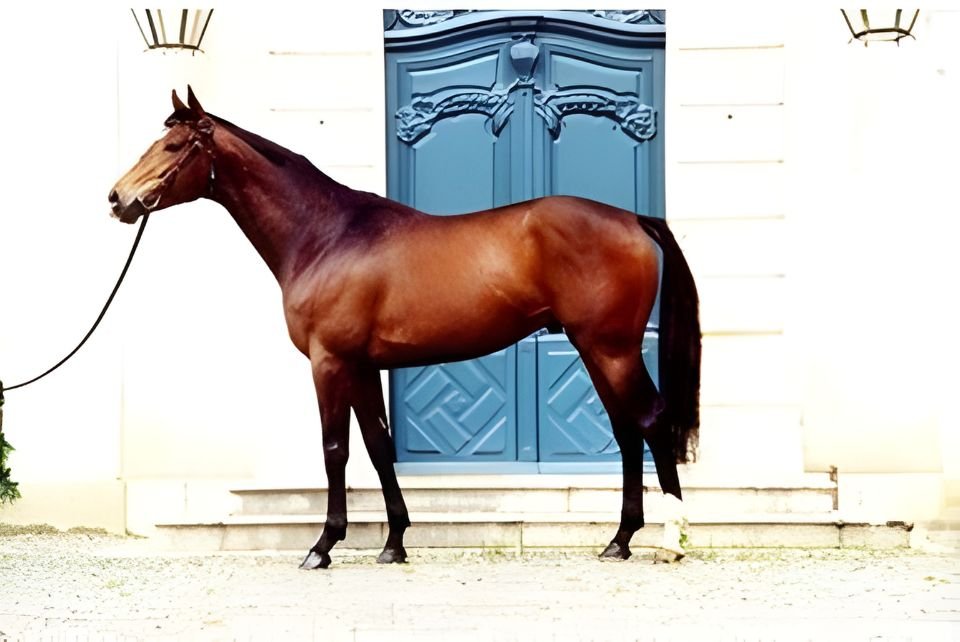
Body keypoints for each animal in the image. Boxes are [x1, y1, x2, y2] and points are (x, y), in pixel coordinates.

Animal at [109, 87, 701, 569]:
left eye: (171, 147)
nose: (118, 198)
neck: (327, 235)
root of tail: (631, 218)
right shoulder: (364, 367)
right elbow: (378, 447)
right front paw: (394, 544)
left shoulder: (330, 362)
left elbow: (336, 449)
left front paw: (323, 546)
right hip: (596, 349)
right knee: (626, 431)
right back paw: (619, 541)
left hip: (612, 348)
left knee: (650, 421)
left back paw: (669, 542)